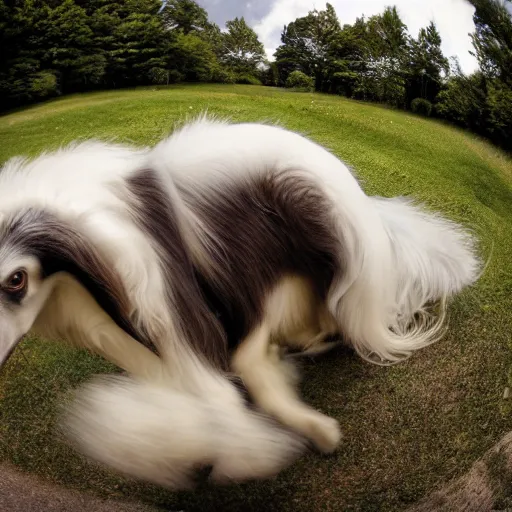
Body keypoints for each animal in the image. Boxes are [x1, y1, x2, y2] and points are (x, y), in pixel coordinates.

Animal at [0, 117, 480, 488]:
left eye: (16, 280)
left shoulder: (180, 306)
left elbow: (225, 395)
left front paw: (254, 450)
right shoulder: (127, 339)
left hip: (290, 225)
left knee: (273, 337)